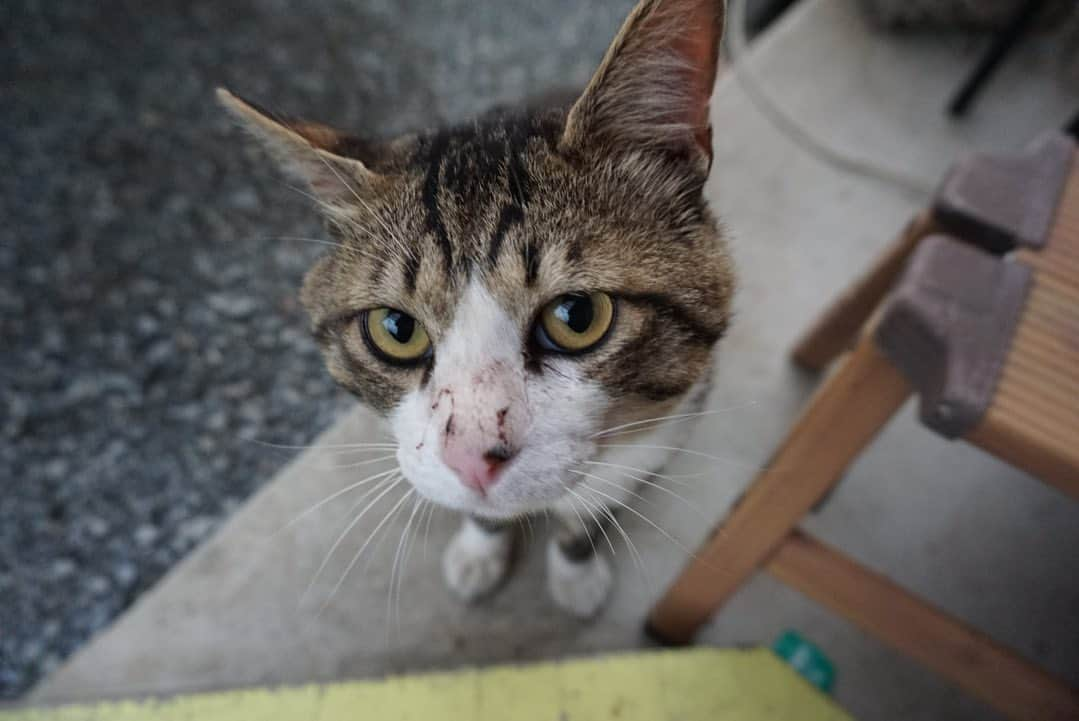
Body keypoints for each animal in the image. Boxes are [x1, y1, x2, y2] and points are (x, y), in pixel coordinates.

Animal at [223, 0, 738, 621]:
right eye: (397, 329)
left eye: (577, 316)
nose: (470, 459)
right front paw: (480, 552)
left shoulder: (656, 437)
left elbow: (587, 514)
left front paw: (575, 571)